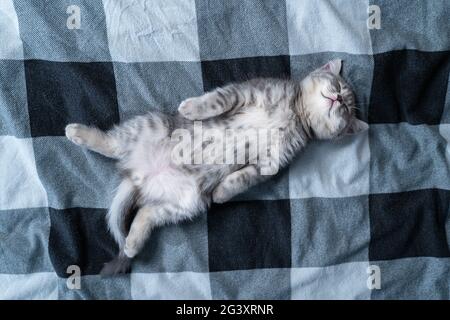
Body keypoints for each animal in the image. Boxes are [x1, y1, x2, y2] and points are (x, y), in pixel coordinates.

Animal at [65, 58, 368, 276]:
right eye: (338, 86)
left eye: (346, 107)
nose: (338, 99)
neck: (294, 113)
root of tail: (139, 176)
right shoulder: (245, 91)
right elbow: (217, 100)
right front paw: (191, 109)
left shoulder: (274, 159)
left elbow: (250, 176)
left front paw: (223, 192)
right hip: (150, 126)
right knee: (110, 143)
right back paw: (79, 132)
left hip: (185, 203)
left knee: (146, 213)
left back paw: (132, 243)